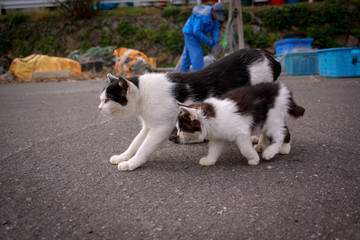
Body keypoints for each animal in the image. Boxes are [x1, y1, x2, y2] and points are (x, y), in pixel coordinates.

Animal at [97, 48, 282, 171]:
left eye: (107, 100)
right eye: (102, 99)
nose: (99, 108)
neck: (143, 94)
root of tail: (267, 56)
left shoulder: (161, 128)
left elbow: (144, 148)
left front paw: (131, 164)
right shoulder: (148, 126)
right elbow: (135, 143)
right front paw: (123, 157)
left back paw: (261, 144)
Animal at [176, 81, 306, 166]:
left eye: (183, 129)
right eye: (178, 128)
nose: (177, 136)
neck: (212, 117)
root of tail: (282, 88)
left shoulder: (242, 132)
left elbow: (244, 148)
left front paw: (253, 158)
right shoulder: (218, 137)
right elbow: (213, 150)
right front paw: (209, 160)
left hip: (272, 119)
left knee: (280, 135)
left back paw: (271, 152)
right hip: (270, 120)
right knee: (284, 130)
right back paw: (278, 147)